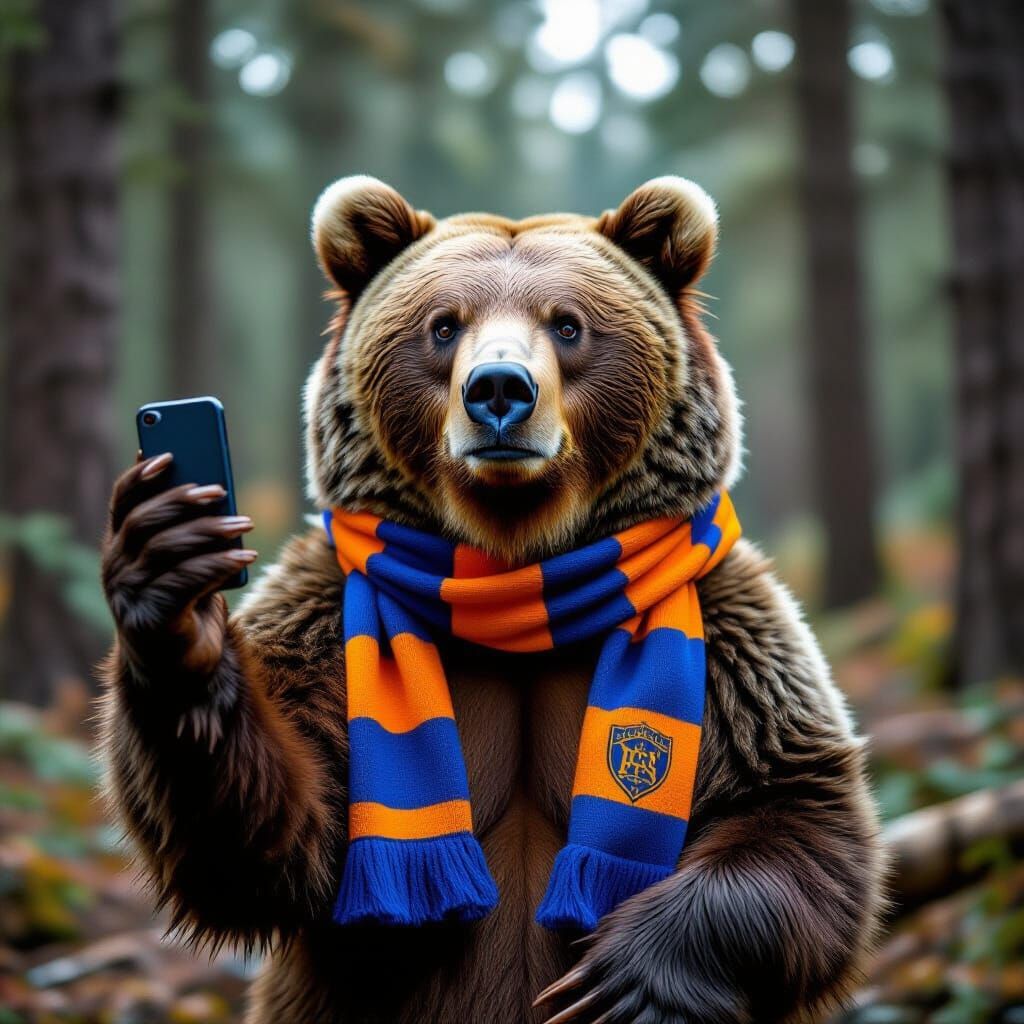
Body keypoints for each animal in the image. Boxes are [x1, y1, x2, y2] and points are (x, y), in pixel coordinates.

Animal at [99, 176, 884, 1024]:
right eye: (444, 325)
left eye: (568, 324)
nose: (500, 389)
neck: (518, 570)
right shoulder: (321, 614)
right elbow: (271, 843)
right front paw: (178, 600)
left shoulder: (732, 630)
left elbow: (796, 808)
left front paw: (623, 980)